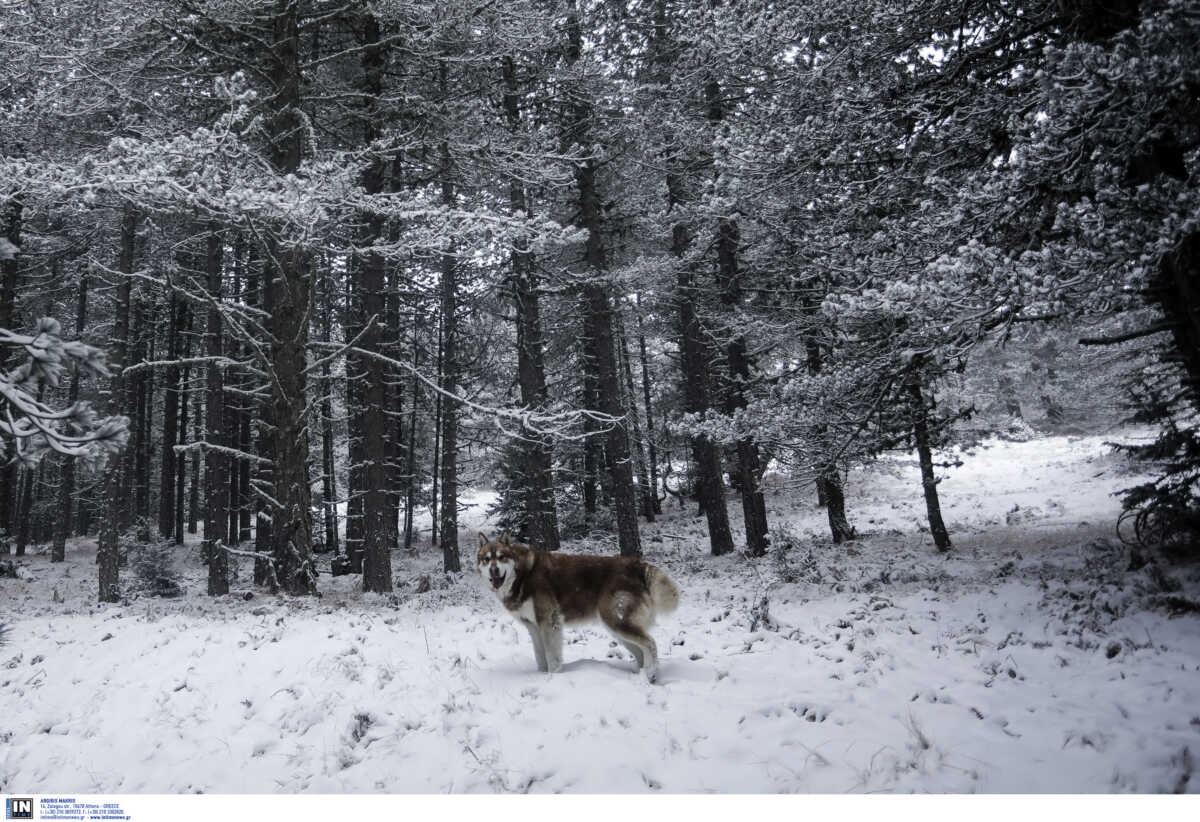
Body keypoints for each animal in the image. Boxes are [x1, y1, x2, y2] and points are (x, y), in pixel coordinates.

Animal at [475, 528, 681, 681]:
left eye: (501, 557)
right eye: (487, 559)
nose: (494, 570)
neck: (522, 575)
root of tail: (637, 564)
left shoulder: (549, 623)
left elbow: (552, 658)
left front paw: (552, 678)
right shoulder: (533, 627)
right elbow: (540, 658)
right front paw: (541, 676)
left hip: (617, 623)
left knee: (650, 643)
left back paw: (651, 673)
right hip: (616, 628)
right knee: (641, 651)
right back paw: (642, 676)